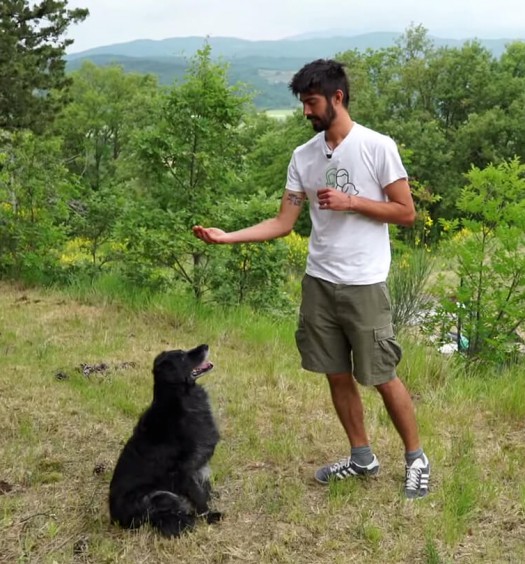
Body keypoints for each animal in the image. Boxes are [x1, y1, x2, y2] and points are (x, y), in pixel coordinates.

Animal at [108, 344, 219, 536]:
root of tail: (117, 520)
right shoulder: (185, 470)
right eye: (182, 357)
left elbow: (204, 488)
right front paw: (209, 516)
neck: (180, 400)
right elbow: (198, 496)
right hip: (157, 495)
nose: (205, 345)